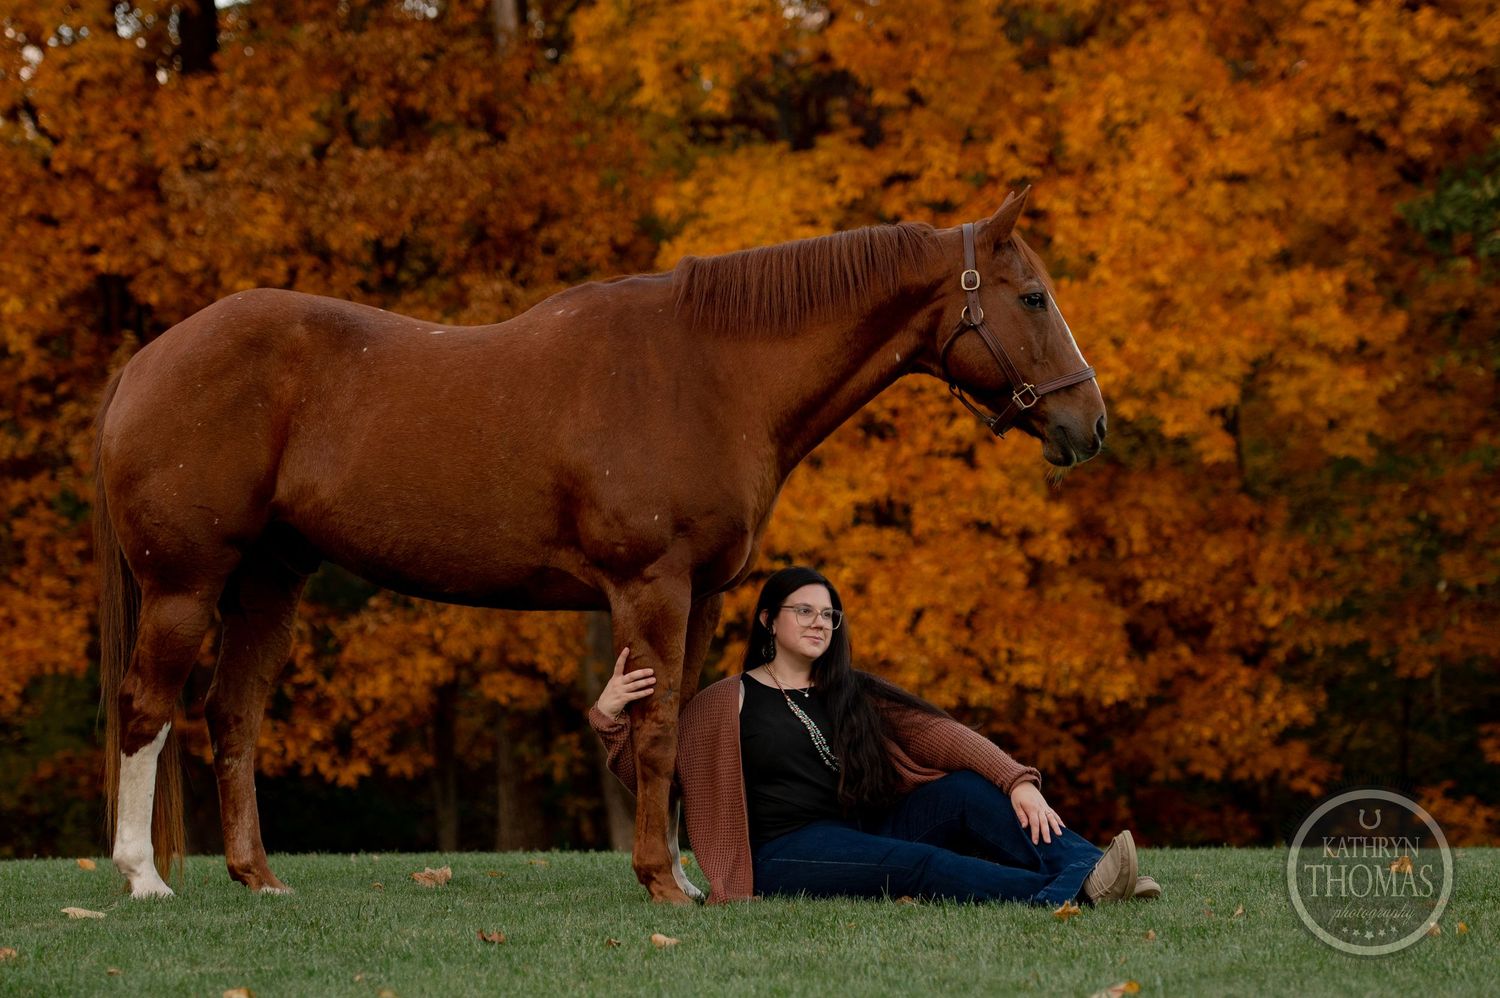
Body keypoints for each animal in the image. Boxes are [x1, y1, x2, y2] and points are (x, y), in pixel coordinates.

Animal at [93, 188, 1104, 903]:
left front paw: (686, 874)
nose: (1089, 424)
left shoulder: (702, 596)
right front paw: (663, 884)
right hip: (184, 585)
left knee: (232, 716)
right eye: (1032, 296)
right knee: (147, 708)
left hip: (270, 579)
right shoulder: (648, 586)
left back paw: (258, 878)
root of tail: (147, 360)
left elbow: (682, 725)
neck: (709, 373)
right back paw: (142, 878)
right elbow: (652, 729)